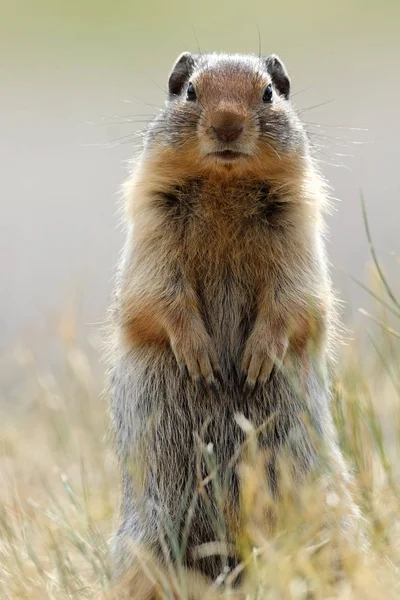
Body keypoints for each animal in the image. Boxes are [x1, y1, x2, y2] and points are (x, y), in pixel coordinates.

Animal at [108, 51, 356, 596]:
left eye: (268, 93)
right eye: (190, 92)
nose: (226, 124)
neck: (225, 184)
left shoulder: (297, 225)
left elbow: (297, 297)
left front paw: (257, 358)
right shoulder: (151, 222)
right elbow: (156, 294)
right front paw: (200, 357)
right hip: (147, 542)